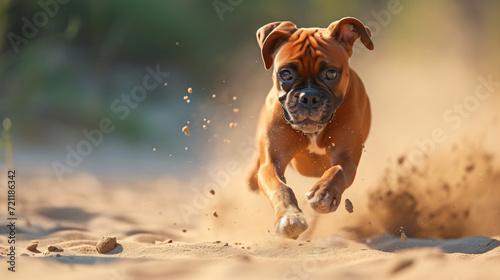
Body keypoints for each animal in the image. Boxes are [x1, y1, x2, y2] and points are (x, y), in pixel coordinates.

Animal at [248, 17, 374, 238]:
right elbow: (280, 187)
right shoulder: (272, 162)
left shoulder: (346, 156)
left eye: (331, 73)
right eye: (285, 74)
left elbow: (337, 171)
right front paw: (289, 217)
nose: (308, 97)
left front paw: (323, 193)